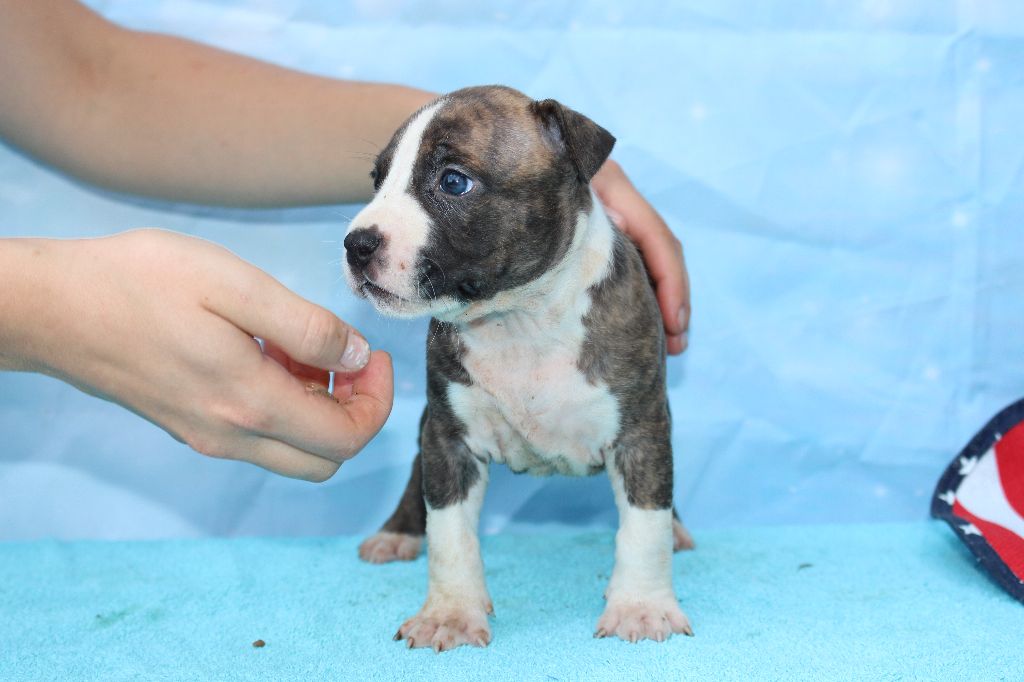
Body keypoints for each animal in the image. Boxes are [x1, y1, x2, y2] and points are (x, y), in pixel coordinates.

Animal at [343, 85, 693, 651]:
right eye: (378, 180)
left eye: (453, 181)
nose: (357, 244)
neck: (520, 320)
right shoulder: (448, 438)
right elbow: (450, 535)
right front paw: (450, 613)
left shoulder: (641, 431)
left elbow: (644, 525)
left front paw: (641, 607)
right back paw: (396, 531)